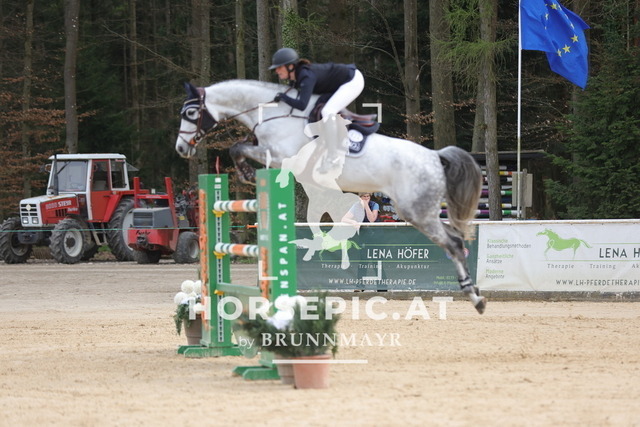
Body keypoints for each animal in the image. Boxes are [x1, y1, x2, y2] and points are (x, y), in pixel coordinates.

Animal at [175, 80, 486, 314]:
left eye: (190, 114)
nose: (180, 148)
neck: (278, 116)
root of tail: (435, 156)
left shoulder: (279, 155)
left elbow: (237, 148)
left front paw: (247, 173)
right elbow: (238, 146)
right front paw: (246, 173)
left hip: (416, 209)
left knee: (455, 243)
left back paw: (475, 297)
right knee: (453, 242)